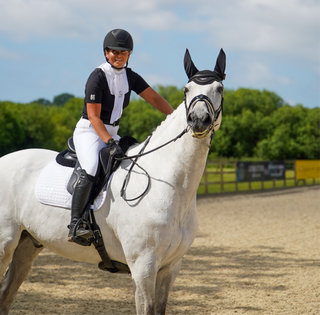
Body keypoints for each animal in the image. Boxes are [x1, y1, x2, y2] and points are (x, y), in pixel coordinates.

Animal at [0, 49, 226, 315]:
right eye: (187, 89)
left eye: (220, 88)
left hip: (26, 245)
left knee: (6, 295)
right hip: (5, 243)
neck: (172, 186)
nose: (198, 120)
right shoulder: (144, 267)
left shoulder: (170, 267)